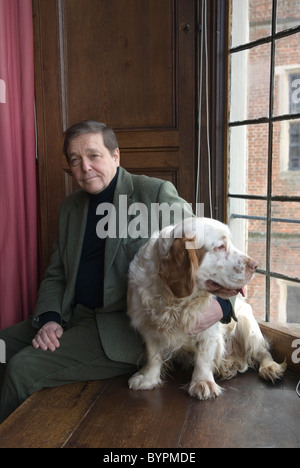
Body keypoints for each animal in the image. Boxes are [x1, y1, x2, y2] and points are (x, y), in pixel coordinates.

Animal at [126, 218, 286, 400]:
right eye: (220, 247)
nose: (255, 265)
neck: (175, 301)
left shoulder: (208, 324)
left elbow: (203, 356)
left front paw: (203, 383)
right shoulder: (148, 326)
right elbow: (153, 355)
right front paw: (148, 379)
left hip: (248, 326)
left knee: (262, 351)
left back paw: (270, 367)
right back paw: (227, 366)